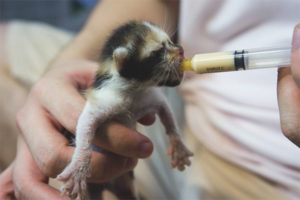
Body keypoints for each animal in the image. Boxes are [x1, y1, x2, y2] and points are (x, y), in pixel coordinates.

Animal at [57, 20, 193, 200]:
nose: (181, 49)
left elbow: (166, 112)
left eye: (170, 41)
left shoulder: (150, 98)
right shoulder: (103, 99)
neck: (134, 91)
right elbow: (86, 124)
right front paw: (78, 168)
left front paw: (178, 147)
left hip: (126, 181)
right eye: (157, 53)